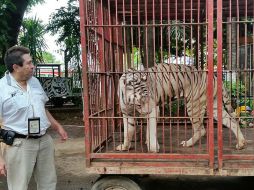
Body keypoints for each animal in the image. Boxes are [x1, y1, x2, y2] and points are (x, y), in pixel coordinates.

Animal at [116, 63, 246, 152]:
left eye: (149, 98)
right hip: (214, 107)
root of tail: (213, 76)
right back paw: (241, 143)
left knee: (201, 130)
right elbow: (128, 132)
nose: (148, 110)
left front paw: (153, 149)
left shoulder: (154, 110)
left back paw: (188, 143)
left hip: (194, 106)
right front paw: (124, 147)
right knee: (232, 121)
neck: (130, 103)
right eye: (140, 102)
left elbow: (151, 130)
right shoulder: (127, 114)